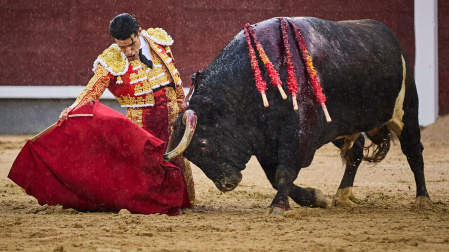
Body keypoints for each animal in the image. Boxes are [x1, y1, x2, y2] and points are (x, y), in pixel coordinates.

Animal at [164, 17, 430, 215]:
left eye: (204, 144)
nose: (226, 184)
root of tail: (389, 35)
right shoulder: (266, 142)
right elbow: (274, 176)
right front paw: (315, 197)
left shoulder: (298, 133)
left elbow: (285, 171)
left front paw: (278, 207)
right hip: (342, 127)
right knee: (355, 151)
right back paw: (342, 196)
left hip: (407, 110)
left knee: (413, 150)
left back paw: (422, 199)